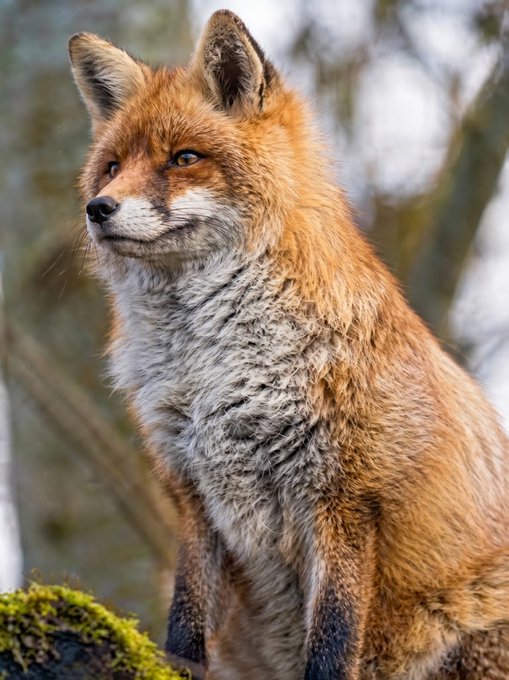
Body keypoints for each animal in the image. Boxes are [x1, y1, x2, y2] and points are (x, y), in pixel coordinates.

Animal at [68, 9, 509, 680]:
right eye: (114, 166)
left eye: (184, 158)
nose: (99, 208)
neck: (214, 368)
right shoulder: (194, 491)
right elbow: (186, 618)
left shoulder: (346, 497)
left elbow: (331, 638)